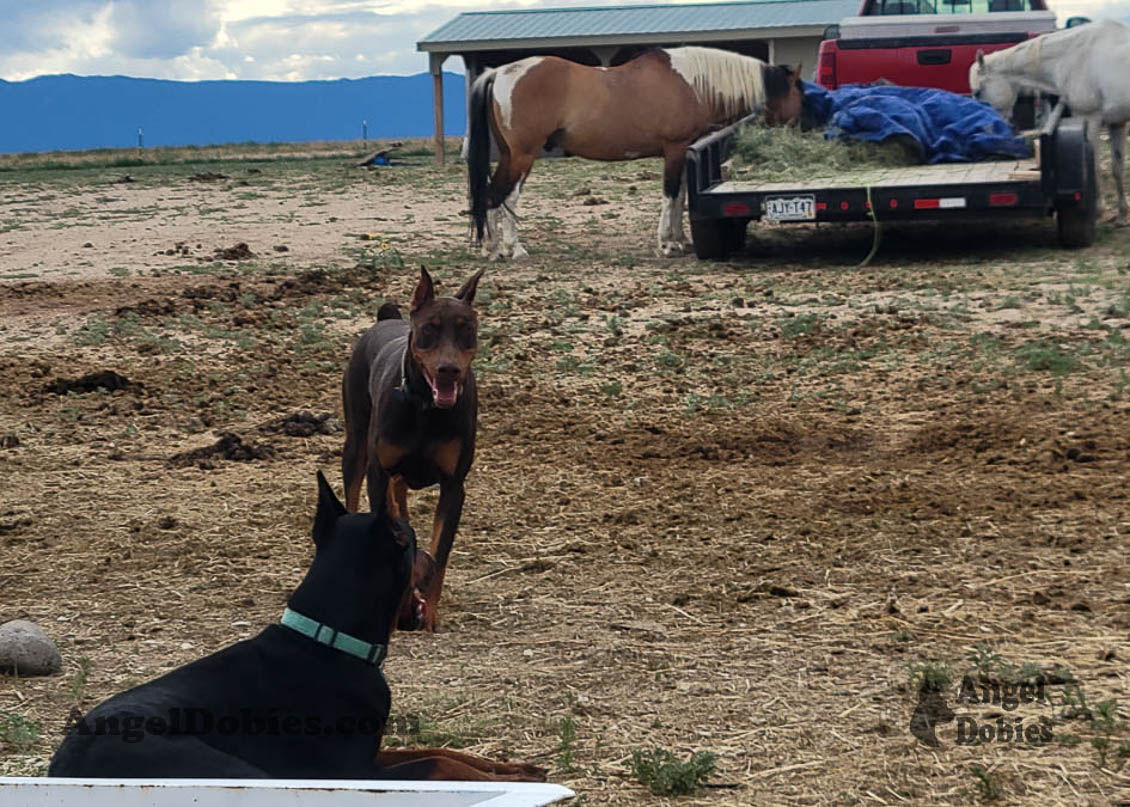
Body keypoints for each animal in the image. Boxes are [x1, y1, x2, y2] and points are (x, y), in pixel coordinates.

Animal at [49, 472, 546, 777]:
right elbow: (439, 764)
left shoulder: (369, 753)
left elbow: (442, 751)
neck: (329, 642)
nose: (436, 559)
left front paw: (513, 769)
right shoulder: (350, 772)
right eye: (412, 538)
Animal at [343, 266, 485, 632]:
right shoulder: (378, 473)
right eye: (429, 330)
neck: (425, 408)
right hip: (356, 444)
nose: (448, 369)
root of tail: (386, 319)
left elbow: (438, 556)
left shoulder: (454, 486)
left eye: (466, 330)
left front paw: (429, 614)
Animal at [465, 46, 804, 257]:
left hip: (511, 156)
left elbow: (681, 195)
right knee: (507, 197)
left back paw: (492, 249)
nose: (799, 129)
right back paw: (513, 249)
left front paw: (680, 241)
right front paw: (666, 244)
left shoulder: (683, 152)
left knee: (492, 196)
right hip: (524, 155)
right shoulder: (675, 149)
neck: (693, 83)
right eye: (800, 93)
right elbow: (670, 194)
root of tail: (500, 72)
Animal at [971, 22, 1130, 222]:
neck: (1073, 56)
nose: (987, 129)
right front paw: (1123, 213)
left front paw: (1099, 210)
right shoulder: (1117, 123)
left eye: (978, 92)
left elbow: (1094, 168)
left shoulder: (1090, 119)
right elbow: (1117, 167)